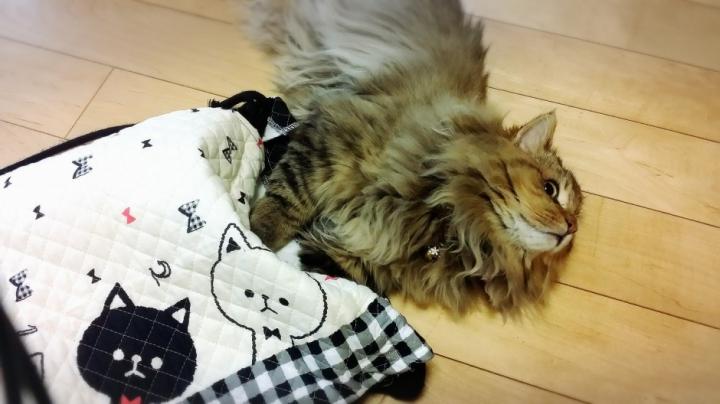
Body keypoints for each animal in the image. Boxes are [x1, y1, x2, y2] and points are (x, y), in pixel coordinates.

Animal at [243, 0, 583, 313]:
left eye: (576, 216)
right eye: (551, 189)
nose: (571, 229)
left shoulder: (349, 257)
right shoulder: (331, 142)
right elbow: (285, 204)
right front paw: (254, 238)